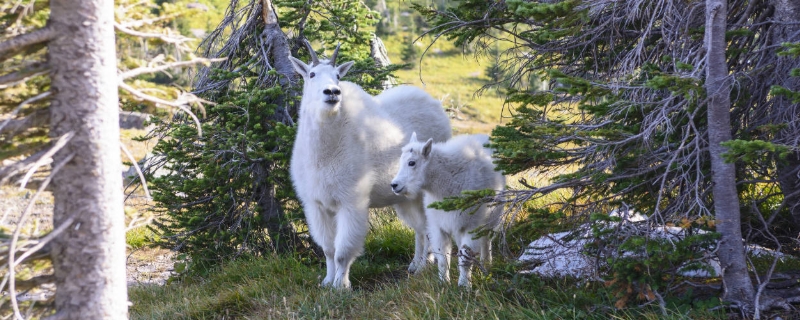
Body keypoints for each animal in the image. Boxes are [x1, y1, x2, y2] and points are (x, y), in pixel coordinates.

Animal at [288, 41, 454, 288]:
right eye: (311, 74)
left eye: (338, 76)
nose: (332, 92)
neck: (324, 152)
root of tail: (437, 107)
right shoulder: (317, 204)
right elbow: (328, 249)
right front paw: (327, 281)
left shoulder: (351, 201)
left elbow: (342, 251)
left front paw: (341, 285)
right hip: (406, 197)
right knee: (421, 228)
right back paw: (416, 265)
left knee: (427, 227)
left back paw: (424, 264)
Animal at [390, 132, 504, 288]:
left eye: (412, 162)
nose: (394, 185)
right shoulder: (439, 226)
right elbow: (443, 257)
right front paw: (443, 283)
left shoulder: (471, 225)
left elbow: (465, 257)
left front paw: (464, 286)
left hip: (492, 215)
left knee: (486, 239)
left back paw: (486, 263)